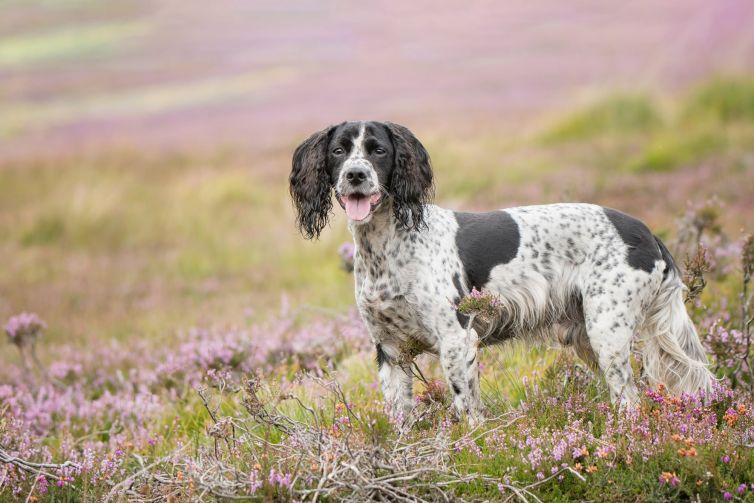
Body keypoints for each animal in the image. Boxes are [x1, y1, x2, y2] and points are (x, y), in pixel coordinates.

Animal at [286, 120, 712, 424]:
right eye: (339, 151)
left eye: (378, 151)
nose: (356, 175)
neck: (388, 246)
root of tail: (646, 232)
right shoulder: (390, 351)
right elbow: (399, 418)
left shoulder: (456, 339)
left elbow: (466, 410)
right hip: (585, 336)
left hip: (608, 331)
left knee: (630, 399)